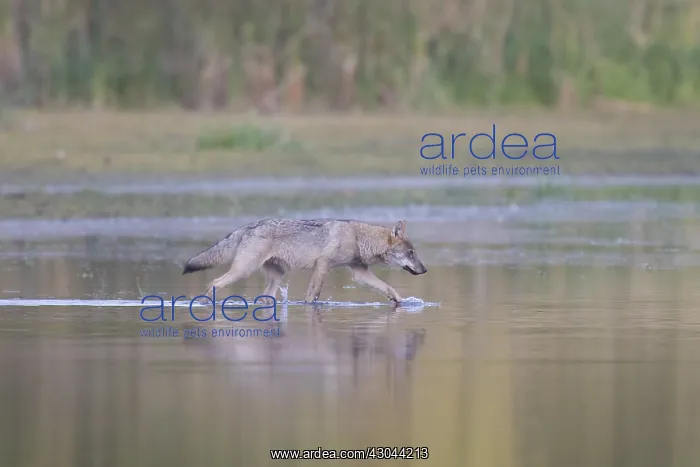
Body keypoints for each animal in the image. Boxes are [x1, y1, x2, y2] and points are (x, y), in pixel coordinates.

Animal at [182, 218, 427, 304]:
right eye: (411, 253)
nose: (425, 270)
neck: (359, 238)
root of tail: (247, 227)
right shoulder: (323, 265)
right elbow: (313, 295)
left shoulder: (359, 272)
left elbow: (389, 288)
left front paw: (401, 302)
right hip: (243, 271)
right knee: (213, 283)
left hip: (274, 278)